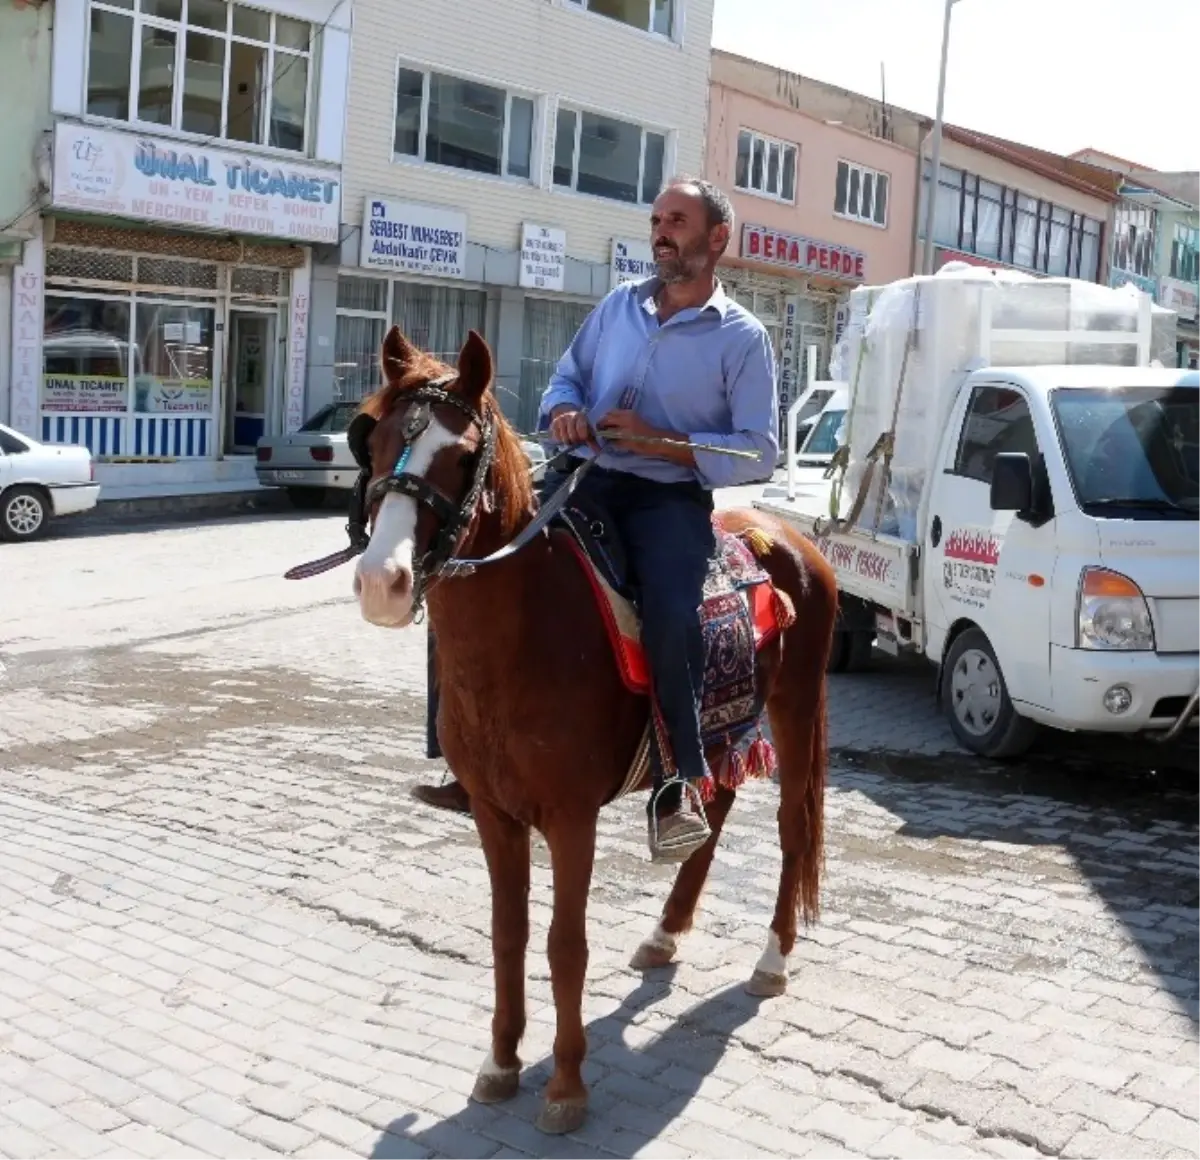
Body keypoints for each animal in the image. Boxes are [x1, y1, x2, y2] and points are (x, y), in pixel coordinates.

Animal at [350, 323, 835, 1132]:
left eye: (461, 455)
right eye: (379, 442)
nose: (380, 583)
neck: (524, 634)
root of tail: (792, 540)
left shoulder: (571, 818)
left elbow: (563, 944)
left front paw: (566, 1085)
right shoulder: (495, 814)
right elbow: (509, 934)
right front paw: (500, 1063)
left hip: (797, 712)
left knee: (792, 829)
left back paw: (772, 960)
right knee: (714, 809)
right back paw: (666, 930)